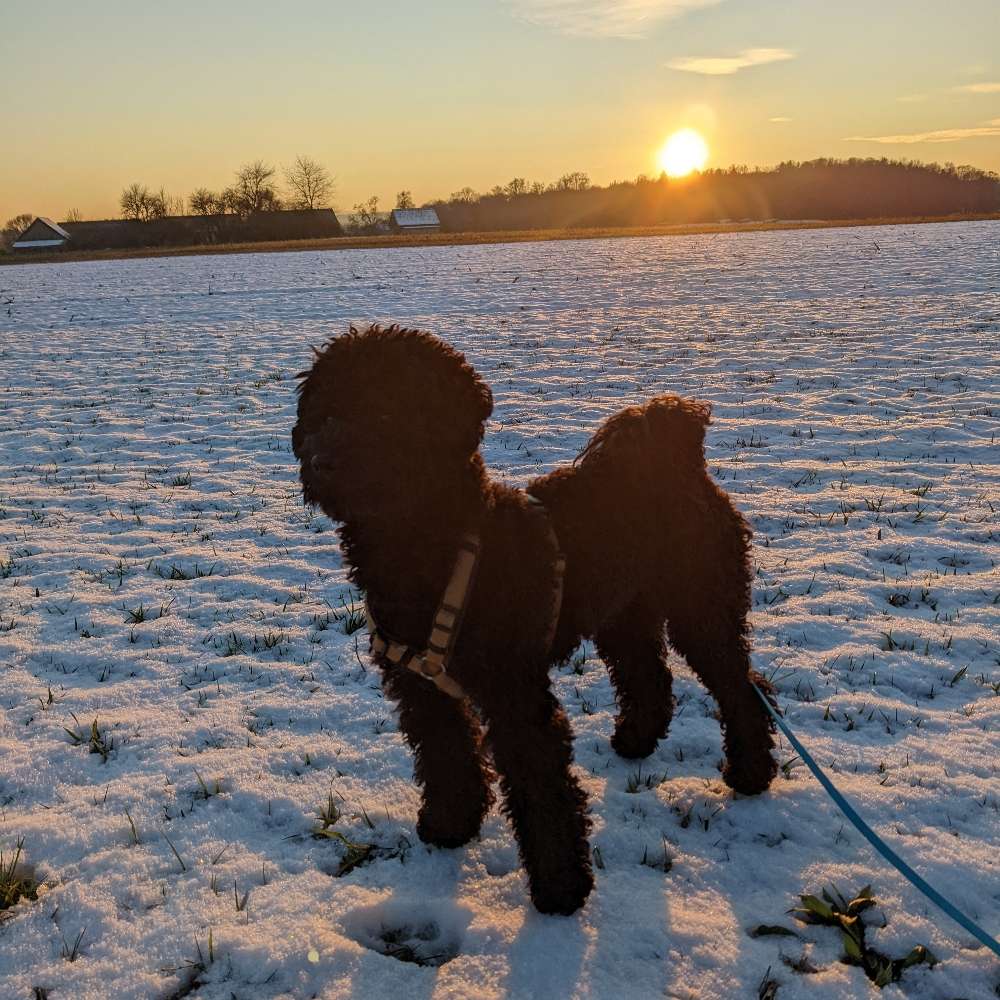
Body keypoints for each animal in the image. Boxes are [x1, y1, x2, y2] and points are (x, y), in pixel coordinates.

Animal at [292, 322, 776, 916]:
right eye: (323, 412)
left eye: (385, 410)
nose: (321, 461)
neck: (434, 544)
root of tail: (681, 460)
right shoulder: (421, 689)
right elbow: (446, 758)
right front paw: (450, 826)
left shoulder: (517, 697)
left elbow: (543, 791)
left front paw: (560, 888)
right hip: (624, 614)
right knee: (650, 675)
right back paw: (636, 740)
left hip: (701, 607)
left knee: (740, 686)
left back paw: (750, 774)